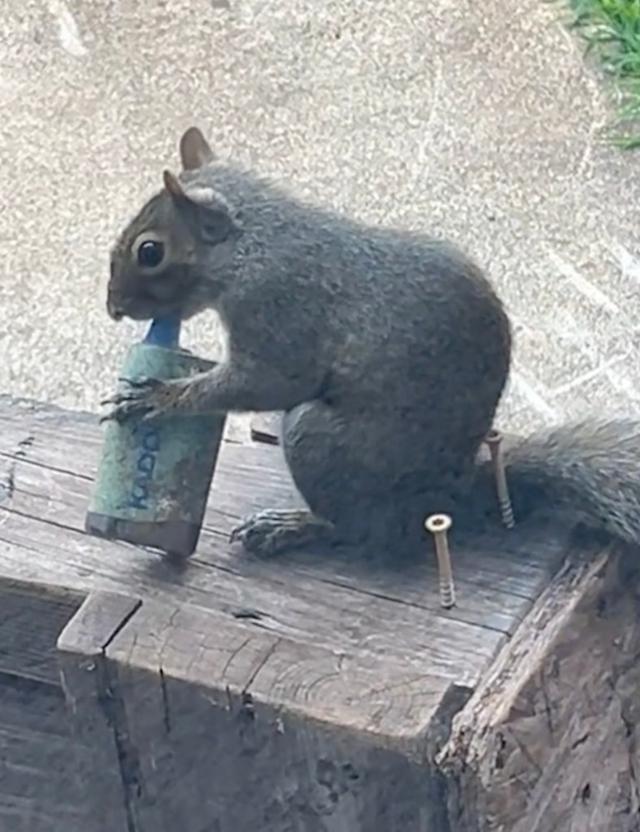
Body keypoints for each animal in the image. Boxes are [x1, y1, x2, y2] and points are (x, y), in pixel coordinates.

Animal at [103, 126, 640, 560]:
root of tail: (454, 496)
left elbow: (270, 383)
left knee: (360, 531)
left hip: (319, 440)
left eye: (150, 251)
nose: (113, 308)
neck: (252, 245)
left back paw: (293, 526)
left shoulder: (280, 312)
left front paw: (159, 397)